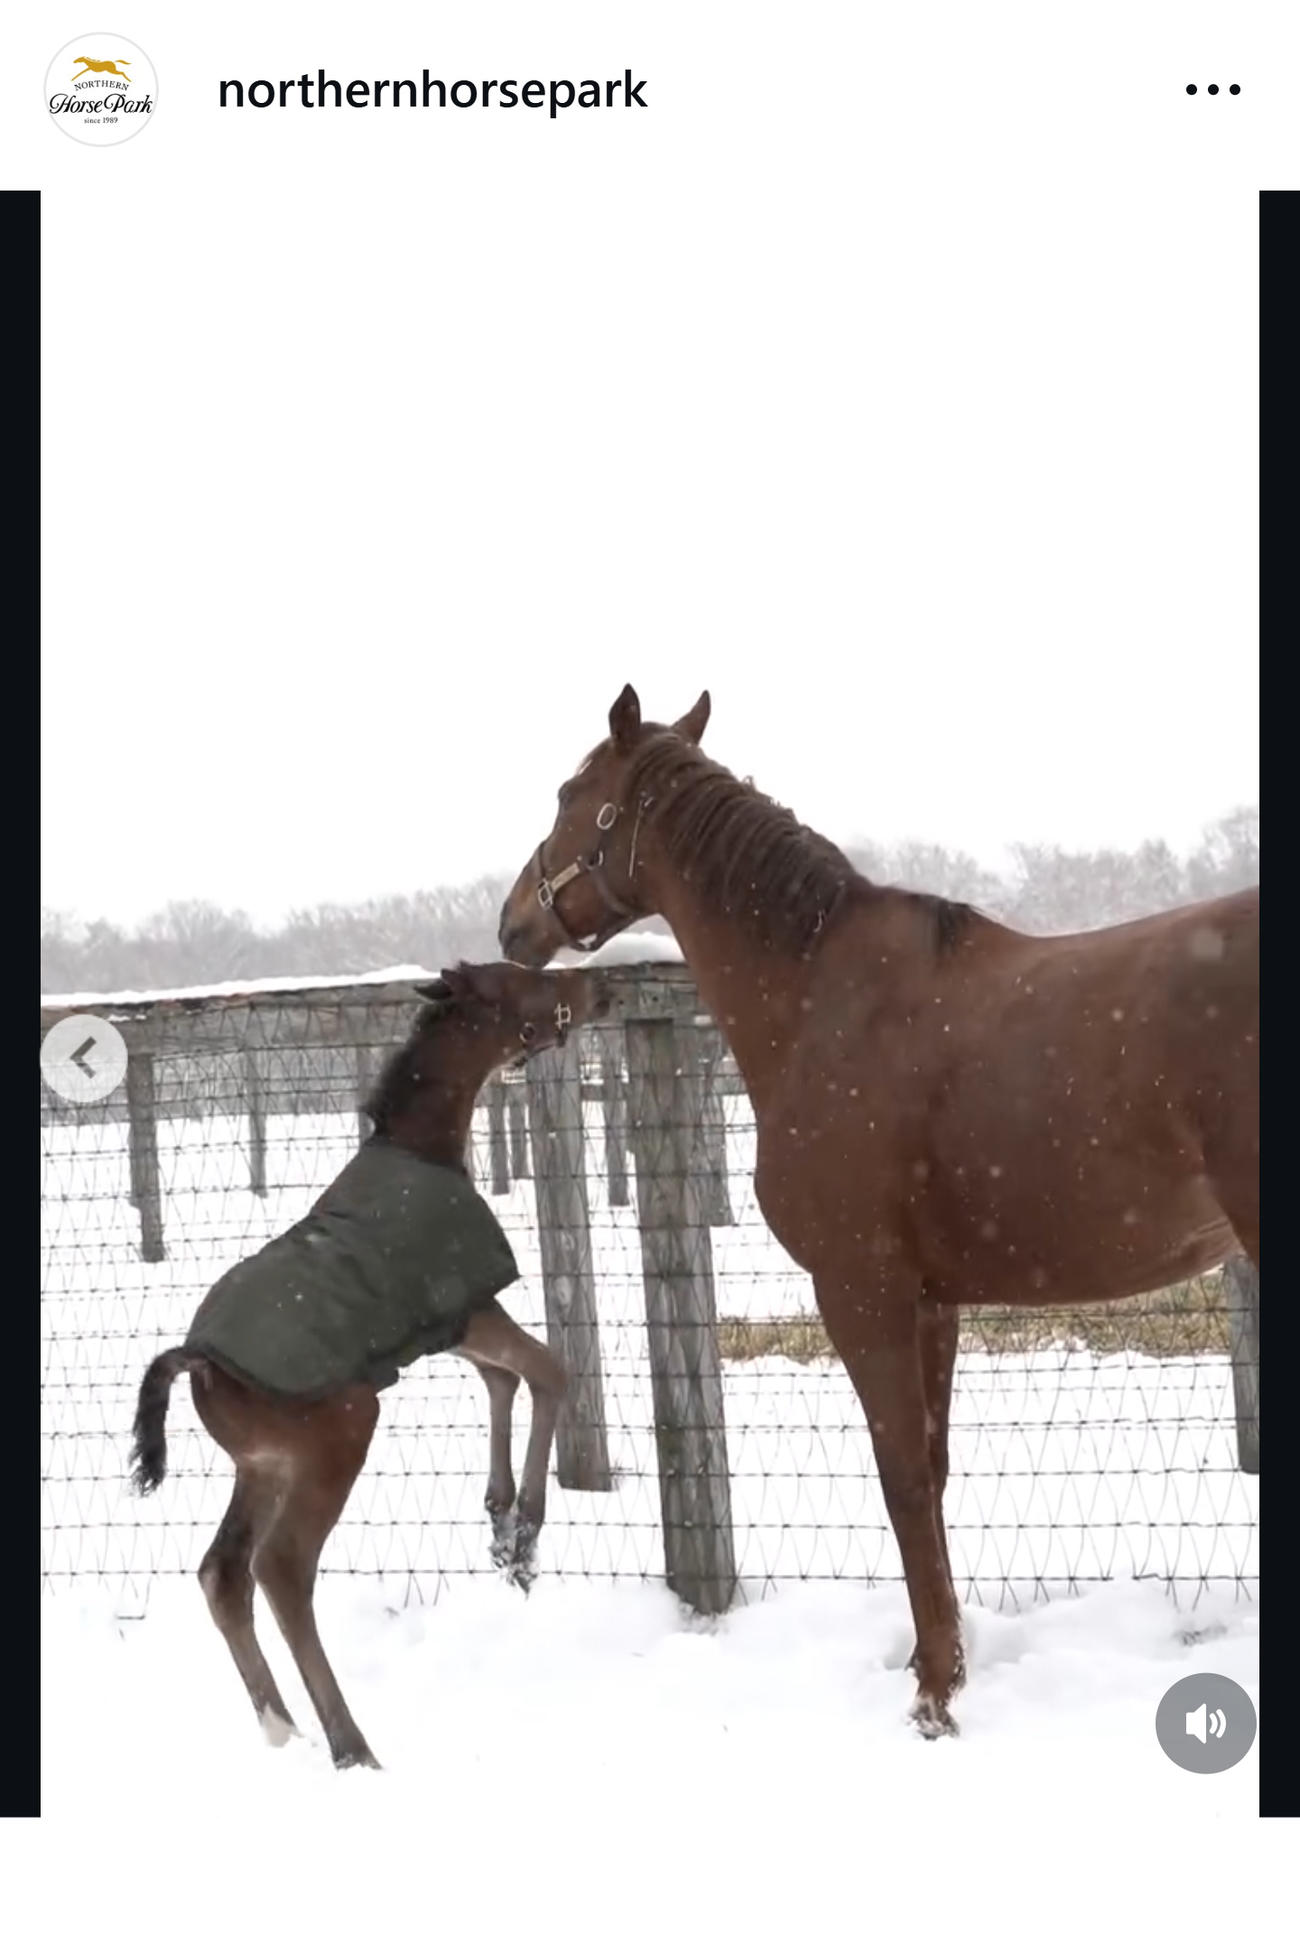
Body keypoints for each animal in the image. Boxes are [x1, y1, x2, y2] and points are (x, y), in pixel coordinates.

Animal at [128, 959, 610, 1770]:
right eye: (524, 980)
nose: (597, 989)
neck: (425, 1147)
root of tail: (198, 1362)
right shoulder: (469, 1304)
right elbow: (548, 1370)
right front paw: (526, 1540)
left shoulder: (442, 1326)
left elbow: (504, 1378)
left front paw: (500, 1523)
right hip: (341, 1433)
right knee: (280, 1568)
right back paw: (352, 1747)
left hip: (265, 1463)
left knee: (222, 1571)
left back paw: (281, 1727)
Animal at [497, 684, 1259, 1739]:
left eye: (572, 795)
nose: (511, 924)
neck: (819, 996)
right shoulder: (933, 1300)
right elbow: (929, 1473)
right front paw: (939, 1665)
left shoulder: (860, 1290)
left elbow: (899, 1477)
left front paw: (934, 1696)